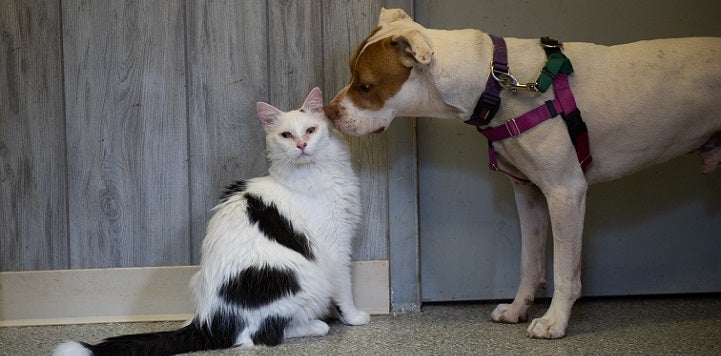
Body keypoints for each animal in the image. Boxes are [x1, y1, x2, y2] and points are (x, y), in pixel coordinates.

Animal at [54, 87, 372, 356]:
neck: (314, 173)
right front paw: (354, 317)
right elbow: (345, 286)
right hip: (303, 277)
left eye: (310, 129)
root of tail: (207, 320)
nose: (302, 144)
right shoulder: (335, 246)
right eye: (286, 135)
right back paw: (316, 325)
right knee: (260, 336)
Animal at [324, 6, 720, 338]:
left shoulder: (565, 192)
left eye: (365, 85)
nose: (328, 113)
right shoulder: (528, 192)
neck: (494, 84)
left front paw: (554, 322)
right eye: (350, 72)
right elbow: (530, 261)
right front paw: (517, 309)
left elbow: (565, 268)